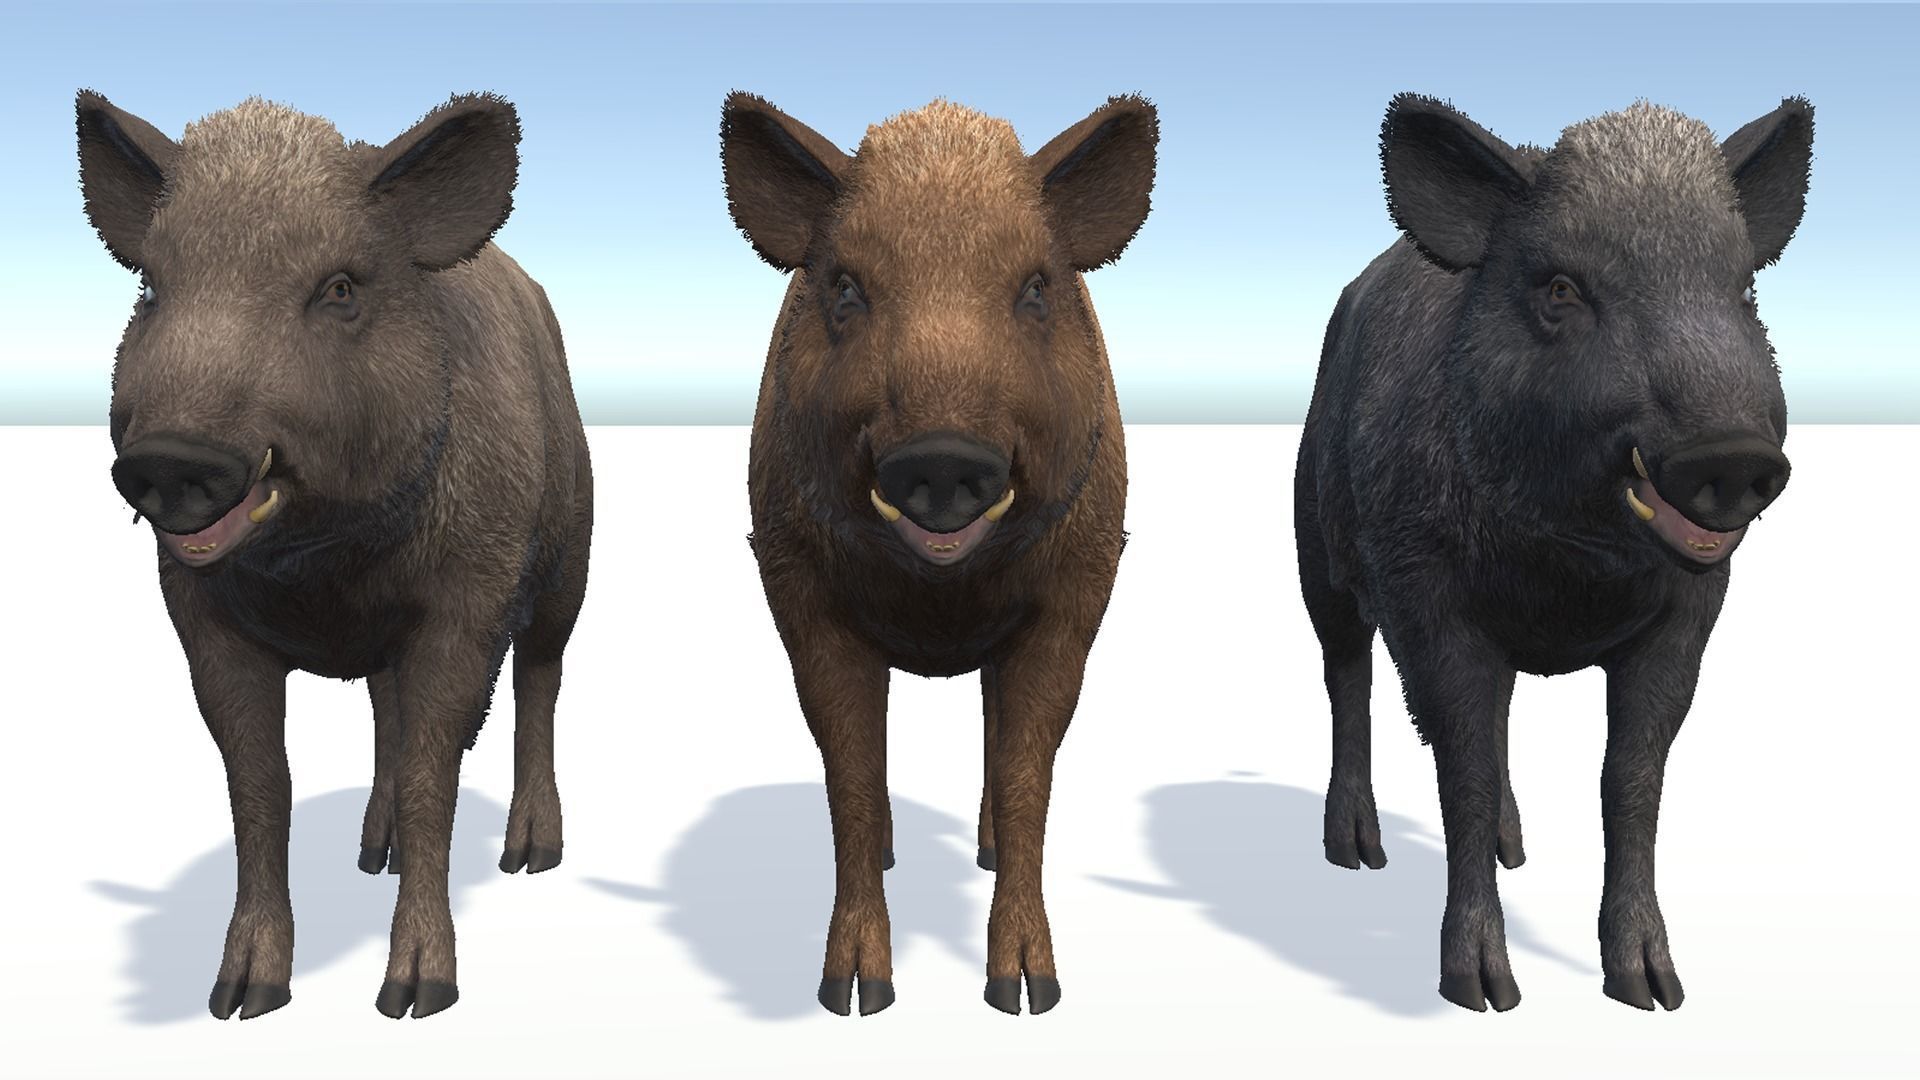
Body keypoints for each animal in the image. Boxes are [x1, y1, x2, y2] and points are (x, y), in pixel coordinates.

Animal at [76, 90, 593, 1020]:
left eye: (341, 288)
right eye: (152, 288)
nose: (171, 455)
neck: (325, 567)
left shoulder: (467, 601)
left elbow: (433, 771)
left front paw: (416, 996)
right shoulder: (200, 618)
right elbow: (258, 782)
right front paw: (240, 997)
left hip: (572, 554)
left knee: (540, 678)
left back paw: (531, 855)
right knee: (385, 706)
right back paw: (368, 854)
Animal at [720, 93, 1155, 1016]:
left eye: (1036, 287)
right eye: (845, 286)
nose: (943, 455)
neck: (939, 599)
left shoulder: (1079, 591)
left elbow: (1029, 770)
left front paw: (1026, 993)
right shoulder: (797, 588)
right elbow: (848, 769)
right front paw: (854, 995)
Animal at [1295, 94, 1811, 1012]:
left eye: (1744, 290)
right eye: (1562, 289)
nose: (1730, 450)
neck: (1570, 574)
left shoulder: (1690, 612)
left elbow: (1630, 774)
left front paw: (1652, 989)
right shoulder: (1427, 594)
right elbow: (1460, 765)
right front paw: (1482, 993)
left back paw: (1516, 848)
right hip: (1315, 551)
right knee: (1347, 676)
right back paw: (1356, 852)